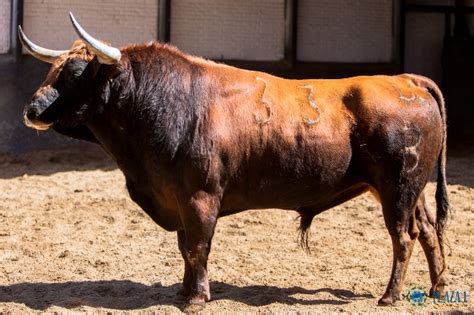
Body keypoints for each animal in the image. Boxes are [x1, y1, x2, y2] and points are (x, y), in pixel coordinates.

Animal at [17, 13, 448, 310]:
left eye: (76, 71)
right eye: (52, 69)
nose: (32, 110)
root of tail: (406, 80)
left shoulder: (200, 197)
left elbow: (198, 247)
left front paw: (196, 299)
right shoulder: (178, 198)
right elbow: (184, 247)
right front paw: (183, 291)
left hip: (397, 191)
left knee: (403, 237)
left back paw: (390, 296)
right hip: (409, 192)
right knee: (428, 231)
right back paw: (437, 287)